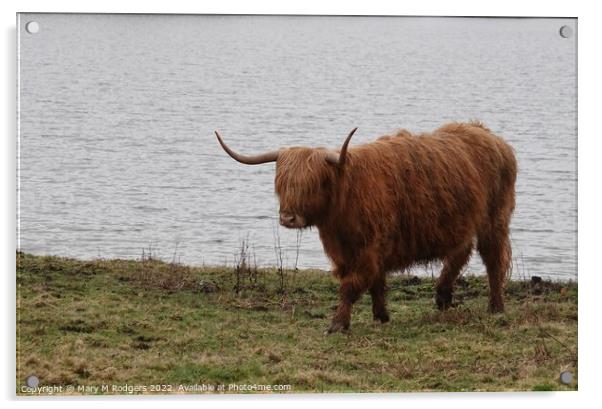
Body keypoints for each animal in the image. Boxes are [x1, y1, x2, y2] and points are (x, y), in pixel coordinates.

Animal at [213, 121, 512, 332]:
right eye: (281, 184)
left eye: (313, 184)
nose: (288, 218)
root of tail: (488, 134)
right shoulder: (351, 252)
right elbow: (375, 284)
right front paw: (381, 316)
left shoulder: (370, 249)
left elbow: (352, 285)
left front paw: (337, 324)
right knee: (460, 252)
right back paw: (442, 297)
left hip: (494, 219)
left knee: (494, 261)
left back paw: (495, 307)